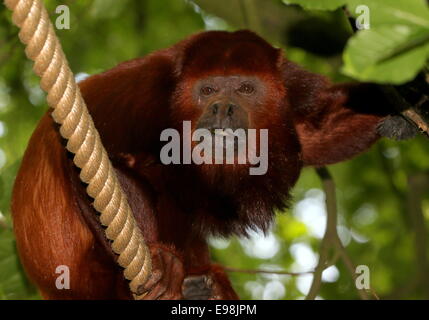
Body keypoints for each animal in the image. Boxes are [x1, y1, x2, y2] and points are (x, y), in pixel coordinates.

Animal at [10, 30, 412, 300]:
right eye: (207, 90)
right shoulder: (139, 93)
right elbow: (81, 163)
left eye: (246, 89)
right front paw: (159, 260)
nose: (222, 108)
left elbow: (314, 133)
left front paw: (407, 102)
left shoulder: (293, 89)